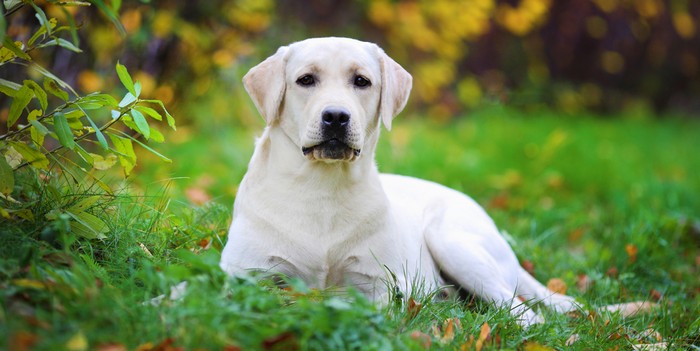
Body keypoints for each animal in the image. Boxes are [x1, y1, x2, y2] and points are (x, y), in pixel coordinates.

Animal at [220, 37, 580, 326]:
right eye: (305, 80)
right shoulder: (244, 273)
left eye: (361, 81)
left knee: (524, 312)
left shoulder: (382, 284)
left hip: (452, 241)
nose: (336, 116)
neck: (322, 187)